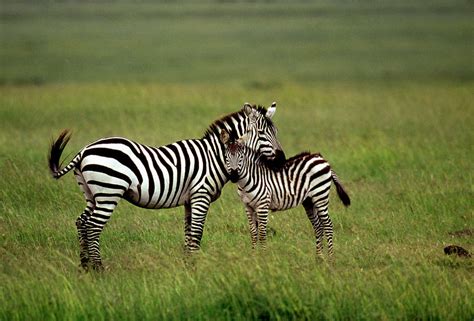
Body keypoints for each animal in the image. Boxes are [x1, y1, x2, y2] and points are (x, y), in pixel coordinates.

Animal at [48, 103, 286, 270]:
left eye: (276, 133)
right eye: (263, 134)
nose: (282, 161)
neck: (216, 156)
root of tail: (84, 150)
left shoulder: (190, 199)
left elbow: (189, 233)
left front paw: (188, 264)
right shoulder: (201, 195)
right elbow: (197, 232)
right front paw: (195, 267)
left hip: (91, 194)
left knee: (81, 223)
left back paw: (85, 267)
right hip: (108, 192)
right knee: (93, 227)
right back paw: (99, 269)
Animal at [220, 129, 350, 256]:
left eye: (241, 157)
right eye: (226, 157)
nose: (234, 176)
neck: (247, 181)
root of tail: (321, 158)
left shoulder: (263, 206)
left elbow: (262, 233)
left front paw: (262, 257)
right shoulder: (248, 207)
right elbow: (253, 233)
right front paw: (253, 256)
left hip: (320, 196)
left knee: (328, 225)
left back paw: (330, 258)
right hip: (309, 201)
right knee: (318, 227)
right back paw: (319, 258)